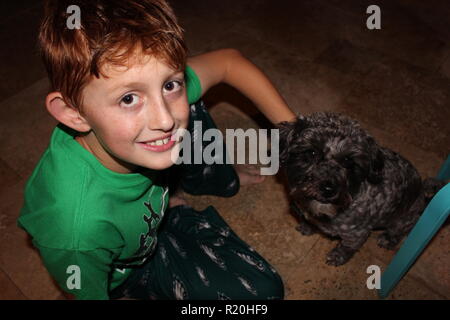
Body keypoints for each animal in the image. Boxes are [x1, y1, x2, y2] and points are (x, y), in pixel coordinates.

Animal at [280, 111, 444, 266]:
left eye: (348, 160)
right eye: (311, 152)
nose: (328, 189)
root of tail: (422, 193)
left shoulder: (357, 234)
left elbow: (347, 247)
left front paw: (338, 257)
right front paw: (308, 227)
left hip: (402, 221)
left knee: (397, 233)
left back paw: (388, 239)